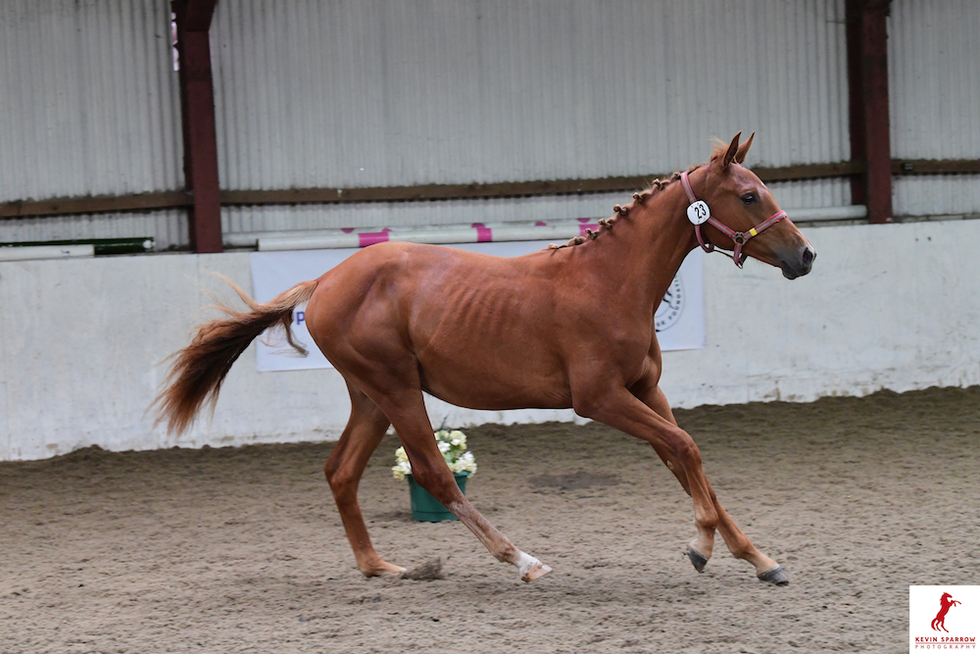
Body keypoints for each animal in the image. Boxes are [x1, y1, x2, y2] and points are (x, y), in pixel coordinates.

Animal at [153, 133, 815, 586]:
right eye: (749, 195)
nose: (805, 256)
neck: (609, 281)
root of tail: (327, 279)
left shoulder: (645, 391)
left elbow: (685, 459)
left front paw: (760, 559)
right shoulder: (600, 399)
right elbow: (686, 448)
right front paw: (702, 547)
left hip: (370, 395)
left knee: (340, 471)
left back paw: (379, 567)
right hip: (397, 390)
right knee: (433, 472)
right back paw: (520, 559)